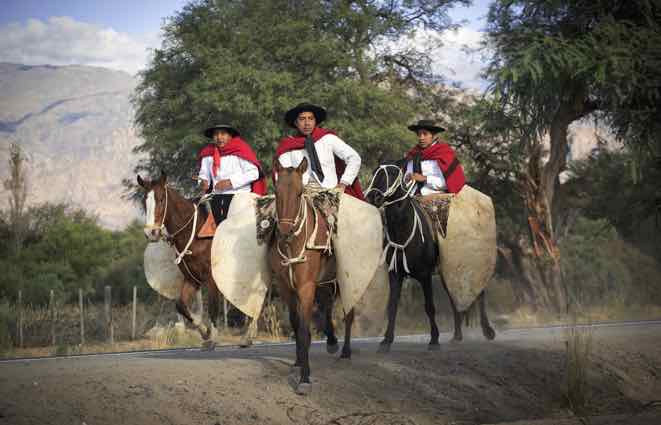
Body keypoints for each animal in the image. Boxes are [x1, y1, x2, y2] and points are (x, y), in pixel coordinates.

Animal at [138, 172, 220, 342]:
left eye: (161, 199)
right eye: (144, 201)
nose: (151, 233)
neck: (197, 234)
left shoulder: (212, 278)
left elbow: (213, 308)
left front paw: (213, 335)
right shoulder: (192, 279)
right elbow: (181, 305)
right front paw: (203, 330)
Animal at [268, 158, 354, 394]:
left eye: (299, 193)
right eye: (276, 192)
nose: (285, 232)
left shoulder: (306, 286)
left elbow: (305, 328)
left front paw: (305, 378)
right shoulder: (286, 287)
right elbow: (296, 323)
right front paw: (298, 362)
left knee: (349, 312)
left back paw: (345, 351)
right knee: (326, 307)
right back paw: (332, 342)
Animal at [364, 159, 492, 352]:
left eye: (393, 174)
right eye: (374, 173)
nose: (373, 197)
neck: (403, 230)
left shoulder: (425, 275)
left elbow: (429, 307)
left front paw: (434, 340)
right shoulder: (395, 274)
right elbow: (392, 307)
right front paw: (386, 341)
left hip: (471, 263)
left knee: (480, 293)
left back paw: (488, 331)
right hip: (448, 271)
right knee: (455, 297)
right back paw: (457, 336)